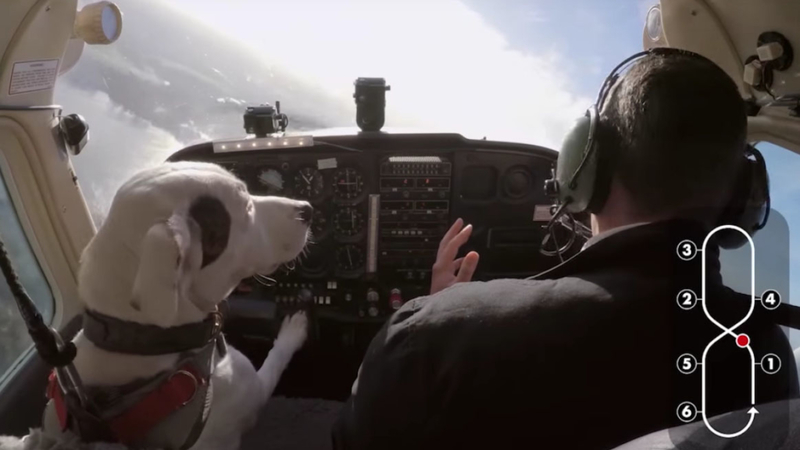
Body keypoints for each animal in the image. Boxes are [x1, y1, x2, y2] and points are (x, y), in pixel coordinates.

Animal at [37, 162, 312, 450]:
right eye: (246, 207)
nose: (307, 209)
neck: (143, 339)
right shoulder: (253, 389)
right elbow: (276, 358)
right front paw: (293, 330)